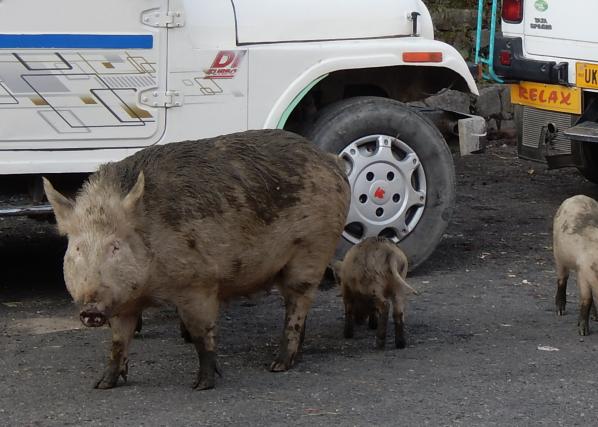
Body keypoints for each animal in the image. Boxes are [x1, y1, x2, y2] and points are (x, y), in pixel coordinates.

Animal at [43, 129, 350, 390]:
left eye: (115, 247)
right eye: (77, 249)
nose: (90, 309)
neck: (152, 287)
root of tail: (330, 159)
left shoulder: (199, 284)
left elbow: (202, 333)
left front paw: (202, 385)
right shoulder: (123, 303)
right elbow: (118, 341)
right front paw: (102, 385)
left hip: (313, 248)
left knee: (297, 303)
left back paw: (278, 365)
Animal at [553, 195, 598, 335]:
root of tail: (577, 196)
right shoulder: (584, 272)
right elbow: (586, 300)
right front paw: (583, 332)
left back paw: (595, 317)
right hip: (558, 255)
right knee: (562, 280)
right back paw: (560, 311)